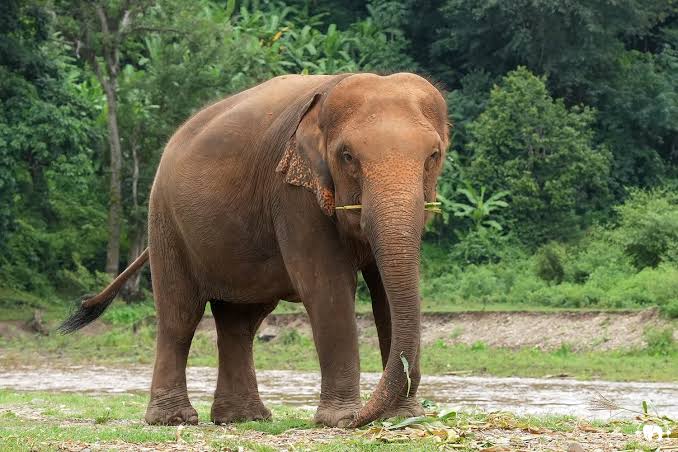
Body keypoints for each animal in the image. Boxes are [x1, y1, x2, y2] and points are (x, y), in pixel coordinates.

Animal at [59, 72, 449, 428]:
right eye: (347, 156)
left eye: (433, 155)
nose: (364, 418)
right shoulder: (292, 194)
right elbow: (327, 287)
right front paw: (340, 420)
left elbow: (386, 292)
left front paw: (405, 418)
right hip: (165, 220)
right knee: (180, 315)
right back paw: (175, 419)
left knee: (240, 321)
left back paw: (244, 418)